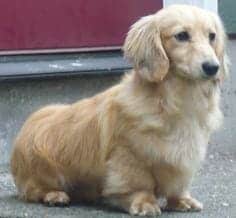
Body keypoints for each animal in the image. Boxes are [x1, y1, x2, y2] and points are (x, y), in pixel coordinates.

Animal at [10, 5, 229, 216]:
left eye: (212, 36)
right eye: (182, 35)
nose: (212, 67)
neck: (177, 98)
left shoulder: (184, 160)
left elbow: (178, 185)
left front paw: (181, 201)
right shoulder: (129, 156)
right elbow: (139, 184)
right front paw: (144, 203)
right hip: (43, 167)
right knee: (33, 190)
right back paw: (55, 196)